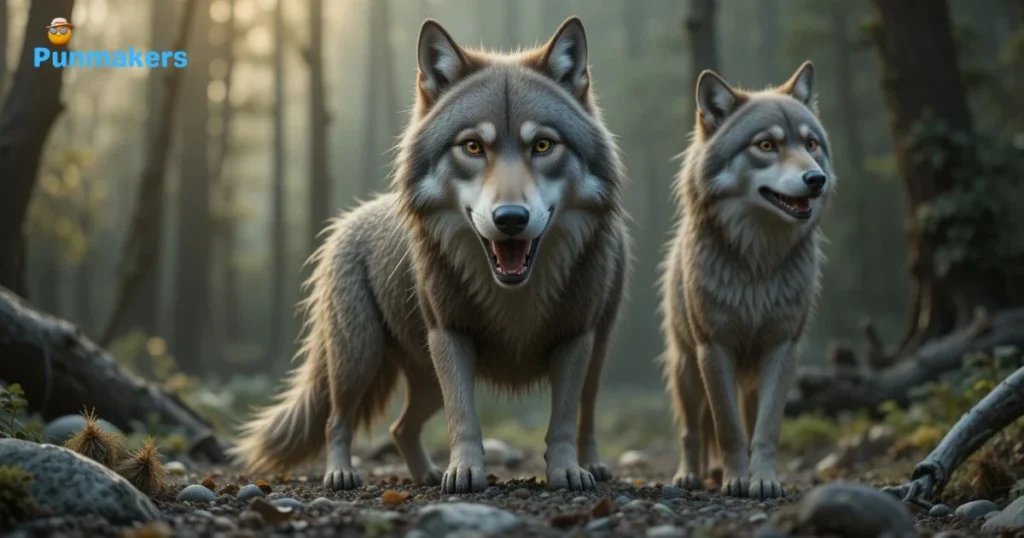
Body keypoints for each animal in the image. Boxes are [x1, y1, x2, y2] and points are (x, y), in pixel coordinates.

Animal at [230, 17, 630, 494]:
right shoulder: (449, 336)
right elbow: (465, 418)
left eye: (543, 146)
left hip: (587, 355)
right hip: (360, 360)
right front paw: (466, 473)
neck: (515, 294)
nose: (511, 219)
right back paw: (343, 473)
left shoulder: (575, 339)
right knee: (338, 419)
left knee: (408, 426)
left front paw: (567, 472)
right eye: (472, 147)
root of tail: (346, 222)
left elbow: (565, 420)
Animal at [660, 61, 833, 499]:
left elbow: (766, 429)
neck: (758, 263)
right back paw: (690, 475)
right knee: (690, 430)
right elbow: (728, 429)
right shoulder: (714, 348)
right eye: (766, 145)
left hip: (750, 379)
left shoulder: (782, 348)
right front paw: (737, 479)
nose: (816, 179)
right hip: (687, 368)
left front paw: (764, 479)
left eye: (811, 144)